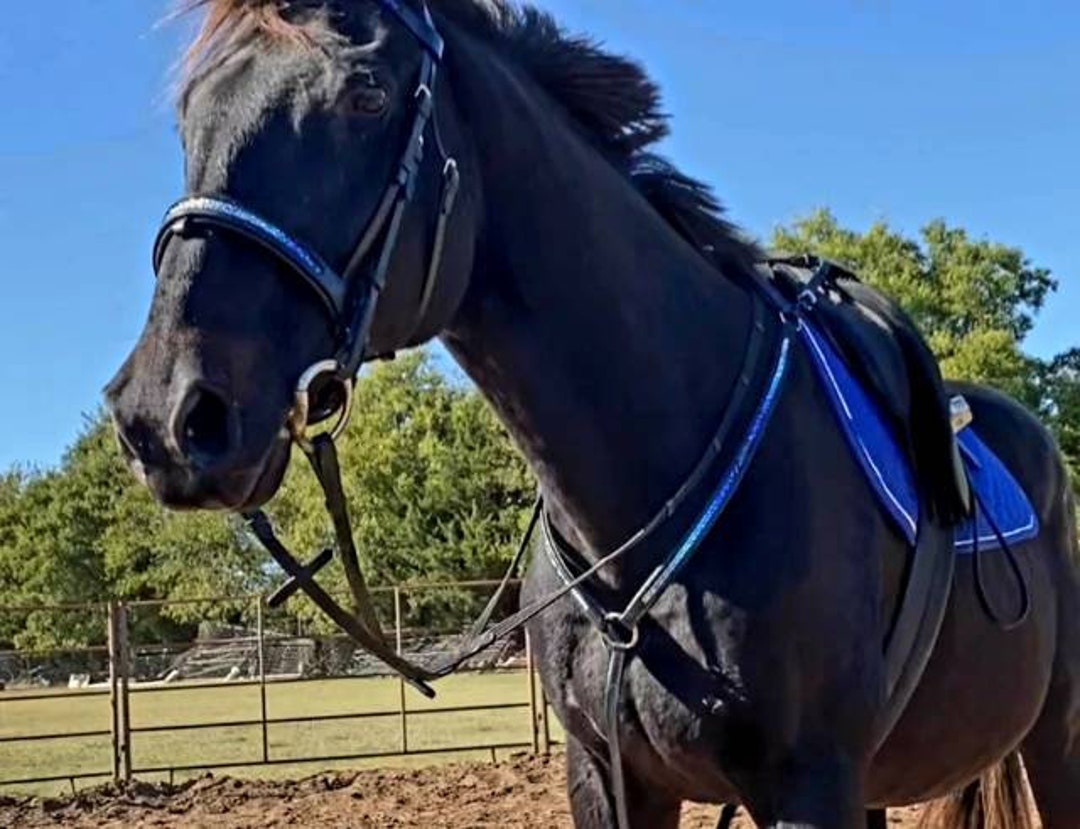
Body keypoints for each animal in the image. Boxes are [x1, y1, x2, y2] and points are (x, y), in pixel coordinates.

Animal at [105, 1, 1080, 826]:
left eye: (366, 95)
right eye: (191, 116)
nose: (167, 412)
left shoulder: (809, 785)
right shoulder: (609, 778)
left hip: (1052, 737)